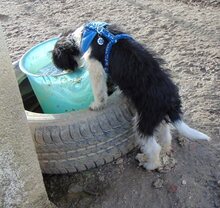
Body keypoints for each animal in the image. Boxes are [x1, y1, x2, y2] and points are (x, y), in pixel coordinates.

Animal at [52, 22, 210, 170]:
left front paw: (97, 105)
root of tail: (170, 101)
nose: (66, 71)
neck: (86, 36)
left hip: (144, 120)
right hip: (157, 119)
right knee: (166, 136)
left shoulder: (95, 67)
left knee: (154, 147)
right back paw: (165, 151)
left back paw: (150, 165)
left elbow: (99, 90)